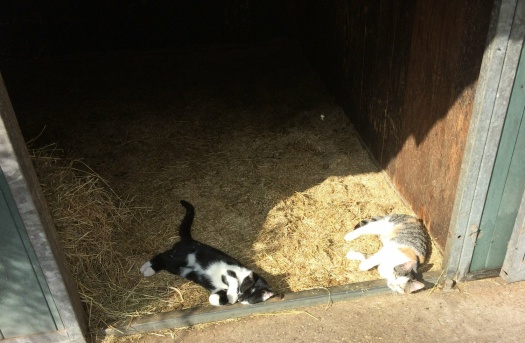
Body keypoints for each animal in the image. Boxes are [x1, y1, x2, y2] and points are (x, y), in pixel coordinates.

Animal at [141, 200, 276, 308]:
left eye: (249, 298)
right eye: (245, 290)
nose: (240, 298)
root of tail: (189, 240)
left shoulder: (220, 289)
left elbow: (214, 298)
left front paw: (226, 299)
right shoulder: (228, 269)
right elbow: (233, 280)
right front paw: (232, 296)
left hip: (177, 268)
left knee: (164, 261)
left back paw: (147, 270)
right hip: (180, 257)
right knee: (162, 256)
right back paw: (145, 269)